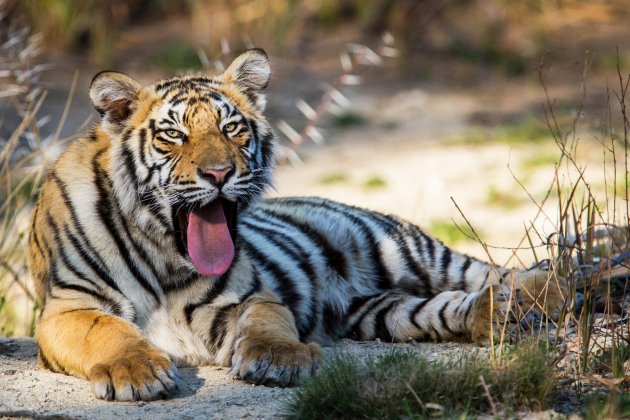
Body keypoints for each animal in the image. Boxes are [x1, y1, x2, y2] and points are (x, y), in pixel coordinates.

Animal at [27, 48, 568, 400]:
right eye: (173, 136)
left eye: (232, 128)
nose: (219, 173)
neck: (162, 249)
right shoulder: (67, 308)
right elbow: (107, 331)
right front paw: (137, 371)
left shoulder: (246, 297)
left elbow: (269, 322)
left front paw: (279, 359)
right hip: (381, 311)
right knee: (446, 306)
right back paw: (500, 314)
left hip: (401, 248)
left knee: (496, 271)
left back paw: (556, 290)